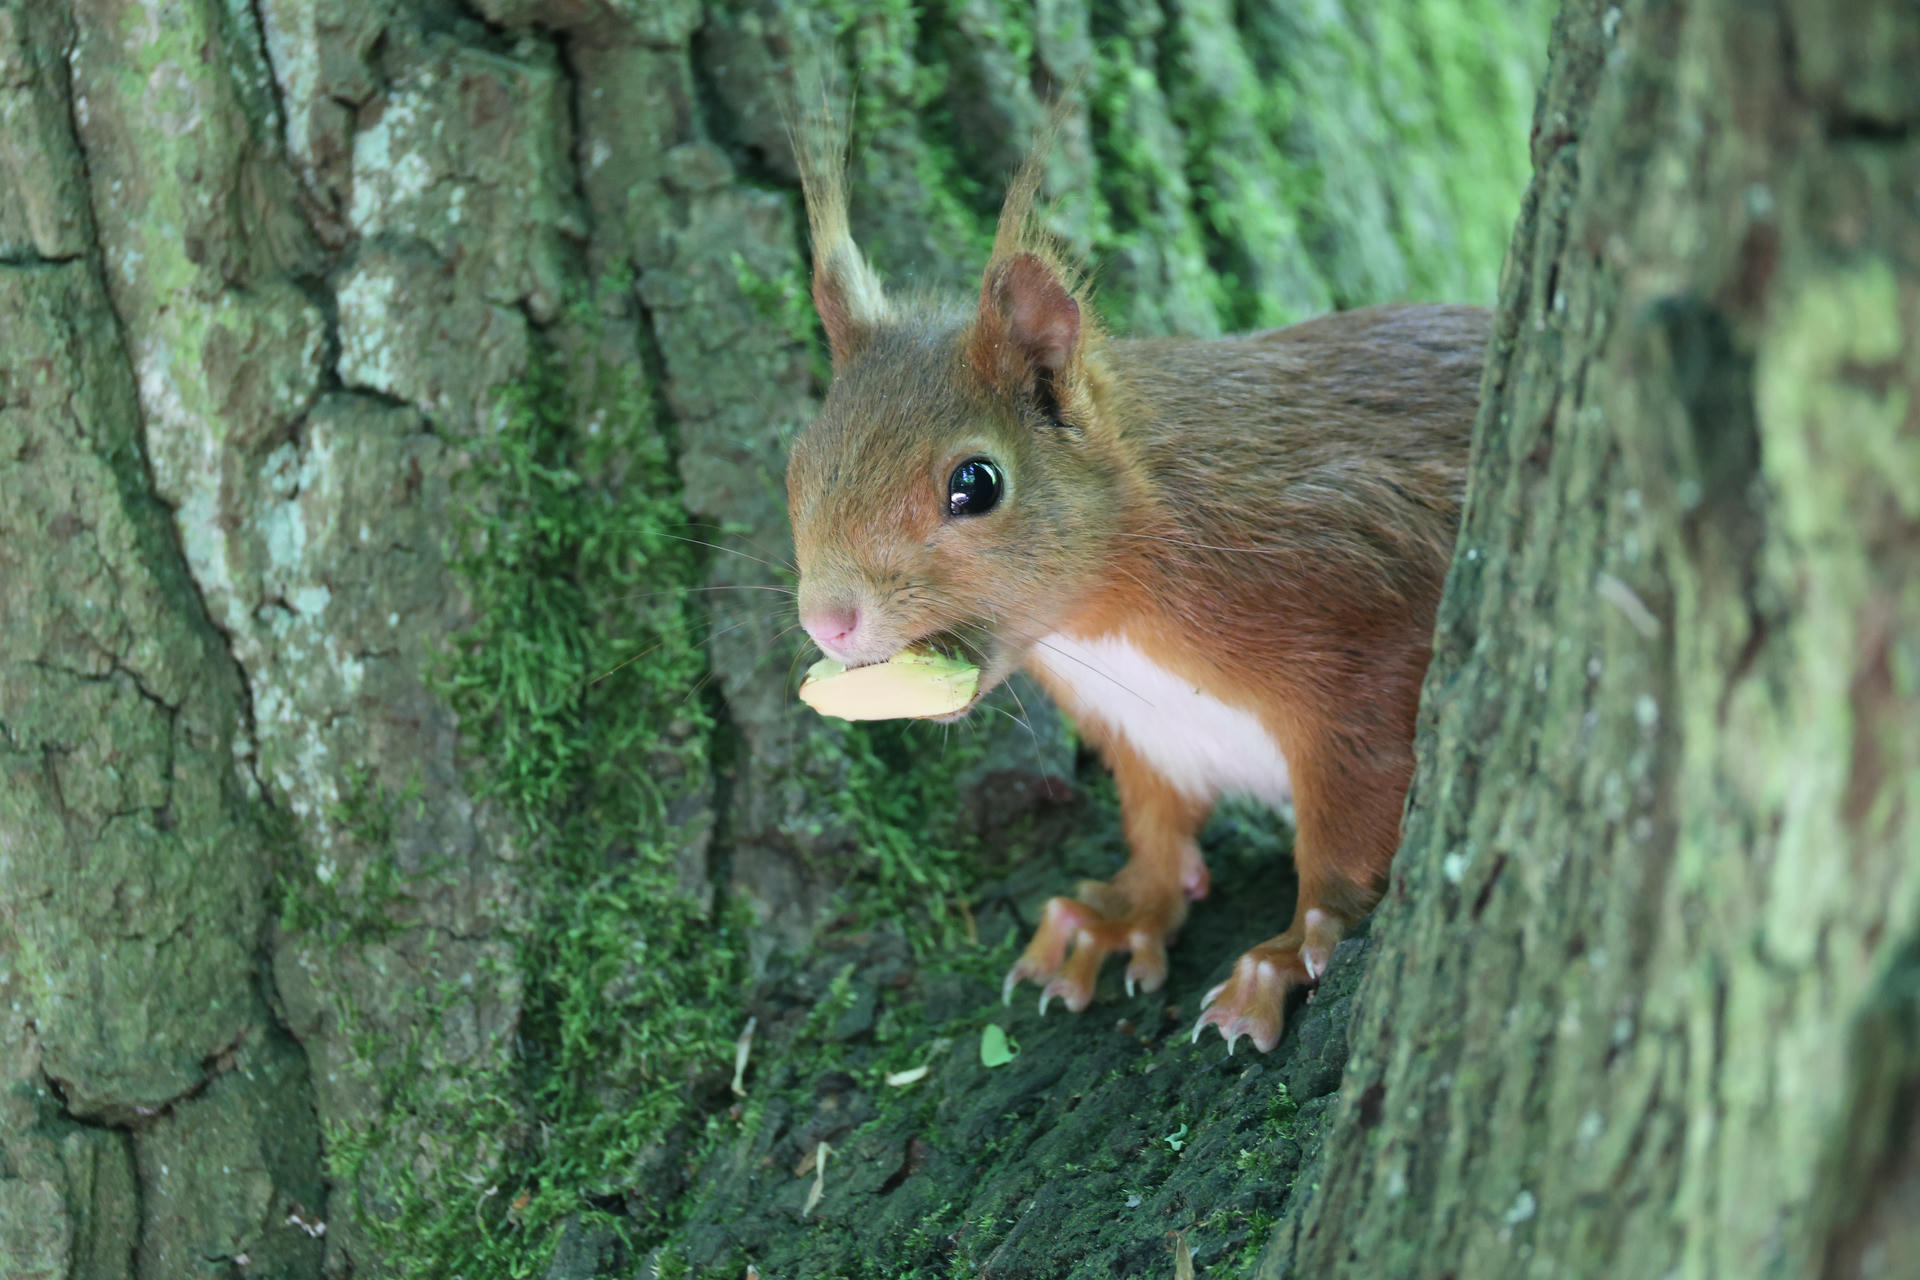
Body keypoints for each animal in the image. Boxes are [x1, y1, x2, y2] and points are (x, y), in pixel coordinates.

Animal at [783, 110, 1486, 1053]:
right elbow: (1157, 836)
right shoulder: (1150, 736)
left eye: (975, 483)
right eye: (795, 463)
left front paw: (1286, 954)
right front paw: (1109, 921)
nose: (828, 621)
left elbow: (1349, 837)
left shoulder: (1359, 622)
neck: (1103, 624)